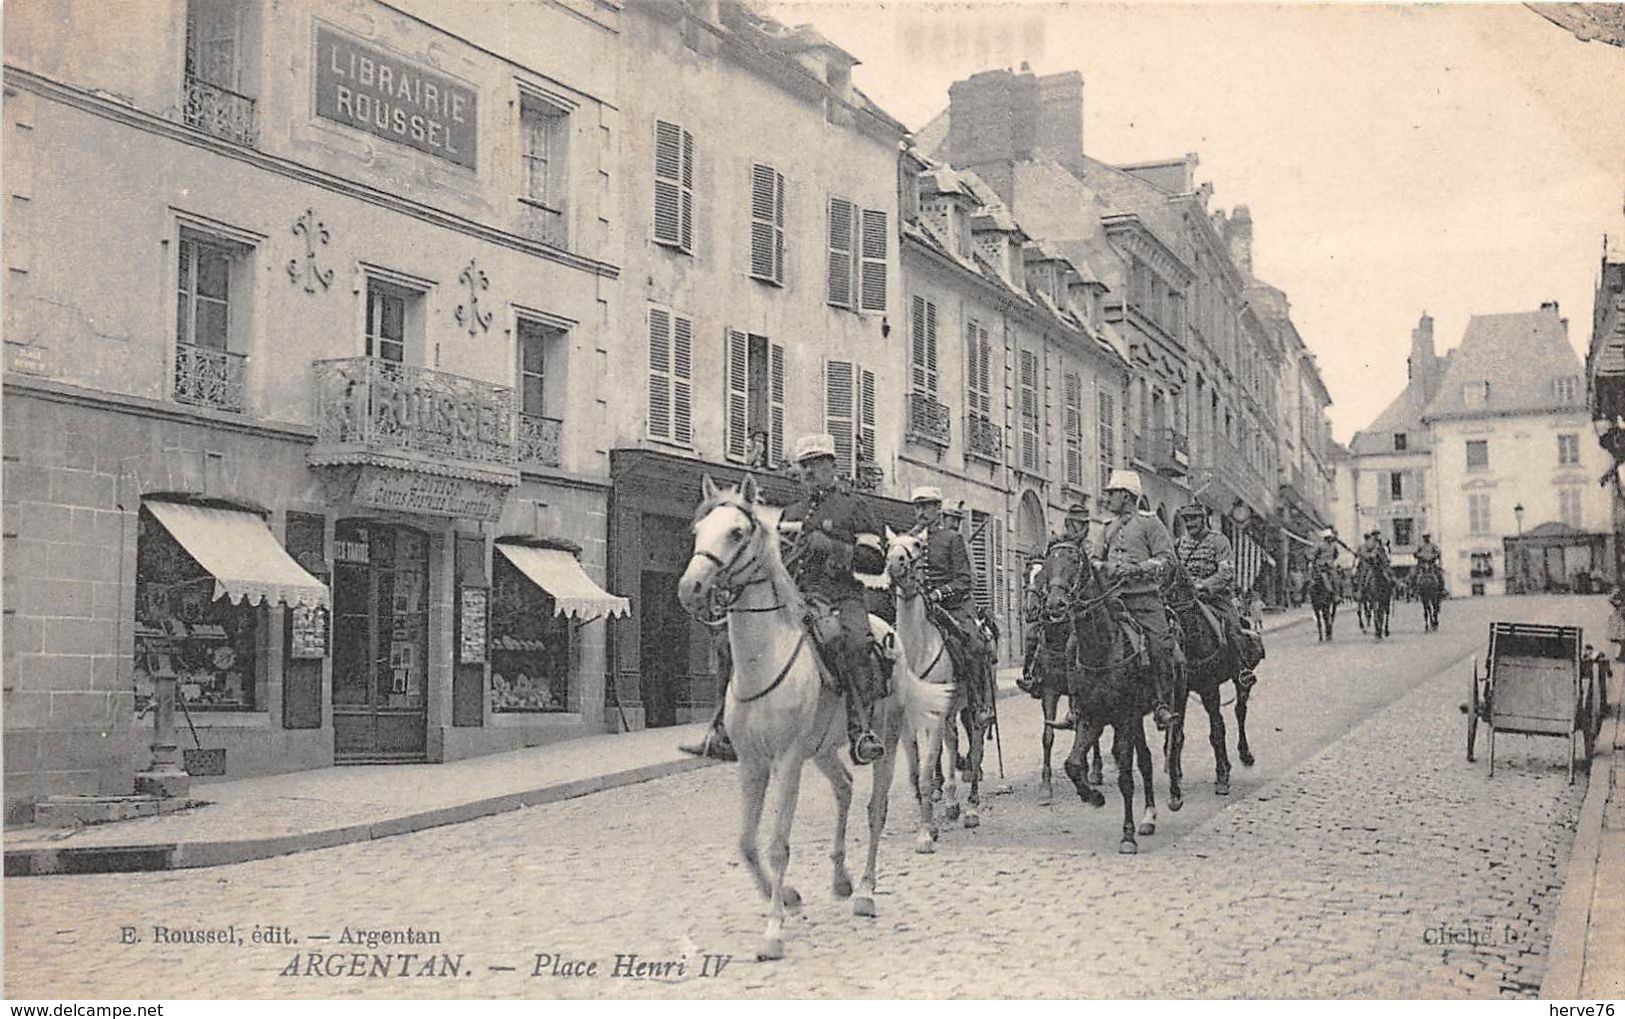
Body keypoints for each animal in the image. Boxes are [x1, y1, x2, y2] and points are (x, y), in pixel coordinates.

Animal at [676, 474, 949, 962]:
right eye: (698, 531)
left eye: (737, 533)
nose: (691, 588)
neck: (765, 658)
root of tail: (891, 635)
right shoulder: (752, 763)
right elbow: (747, 843)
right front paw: (787, 897)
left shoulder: (786, 761)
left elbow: (778, 844)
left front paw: (773, 932)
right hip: (822, 750)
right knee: (844, 788)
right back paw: (841, 879)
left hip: (887, 738)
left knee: (875, 808)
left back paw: (866, 891)